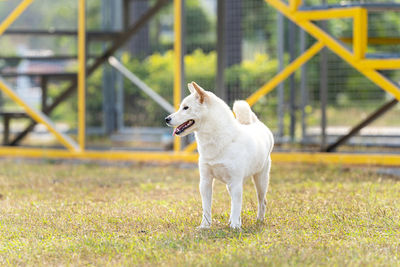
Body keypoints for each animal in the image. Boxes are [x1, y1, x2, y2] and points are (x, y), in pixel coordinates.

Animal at [164, 82, 274, 230]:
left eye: (186, 108)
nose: (166, 119)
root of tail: (256, 123)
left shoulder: (235, 181)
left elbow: (236, 206)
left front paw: (235, 226)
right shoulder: (205, 181)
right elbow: (206, 207)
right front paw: (205, 225)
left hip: (260, 180)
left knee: (262, 201)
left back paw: (259, 220)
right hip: (231, 185)